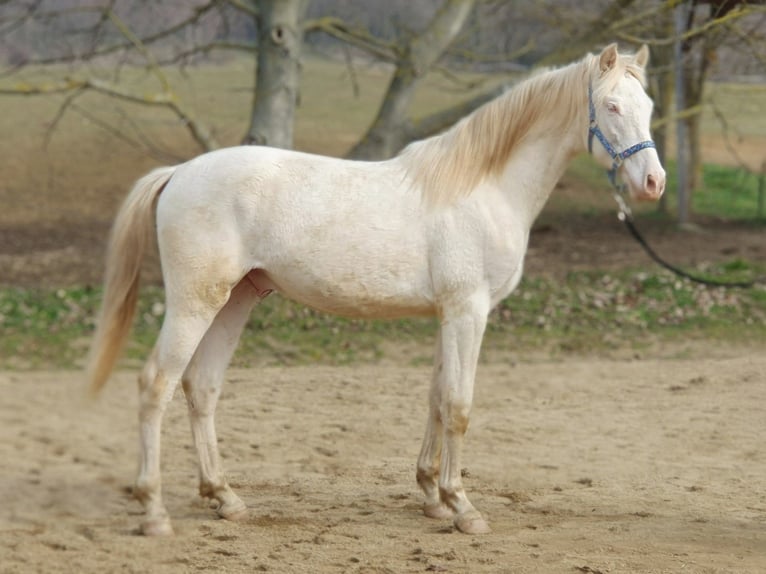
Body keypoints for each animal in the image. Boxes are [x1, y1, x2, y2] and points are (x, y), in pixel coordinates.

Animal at [88, 45, 664, 540]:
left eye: (649, 106)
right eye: (612, 105)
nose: (653, 183)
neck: (482, 188)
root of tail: (179, 173)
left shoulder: (448, 315)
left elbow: (436, 398)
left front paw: (432, 496)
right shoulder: (468, 312)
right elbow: (459, 405)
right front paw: (464, 507)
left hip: (235, 301)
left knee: (201, 387)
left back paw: (225, 498)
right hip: (195, 302)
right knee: (156, 385)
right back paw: (155, 511)